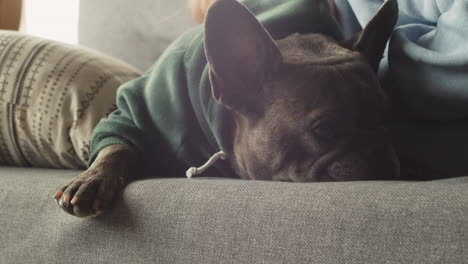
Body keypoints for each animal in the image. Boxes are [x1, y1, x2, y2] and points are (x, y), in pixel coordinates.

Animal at [54, 0, 398, 217]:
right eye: (324, 129)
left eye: (387, 118)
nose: (380, 148)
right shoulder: (137, 115)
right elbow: (118, 146)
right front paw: (94, 179)